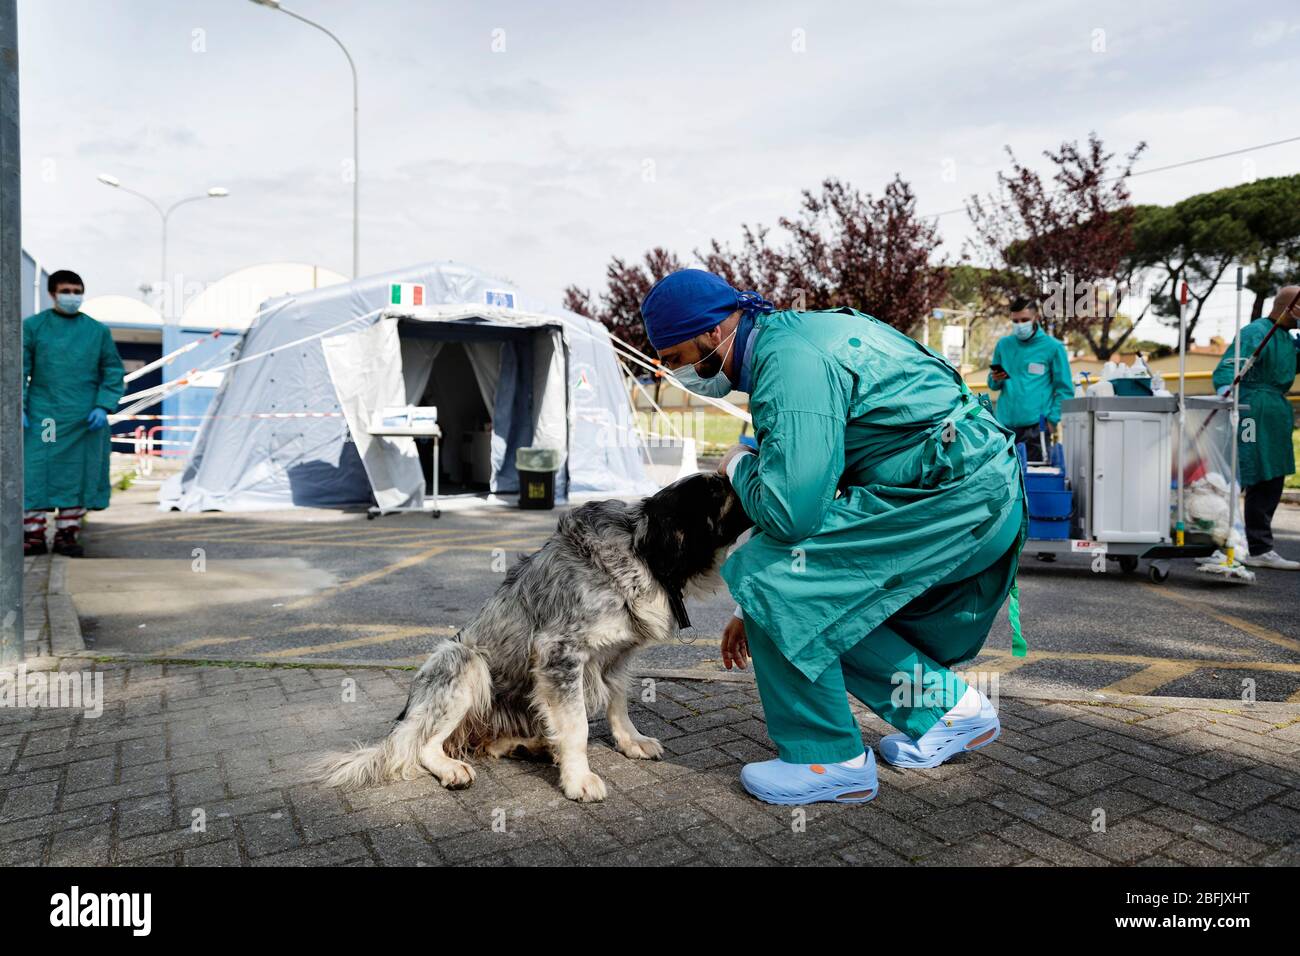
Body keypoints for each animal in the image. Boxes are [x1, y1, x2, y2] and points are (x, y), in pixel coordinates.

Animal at [313, 476, 754, 806]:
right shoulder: (559, 654)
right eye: (720, 490)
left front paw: (630, 742)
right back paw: (454, 767)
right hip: (464, 661)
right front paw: (578, 778)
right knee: (420, 744)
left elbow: (618, 706)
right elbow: (576, 725)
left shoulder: (616, 659)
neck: (642, 552)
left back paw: (531, 746)